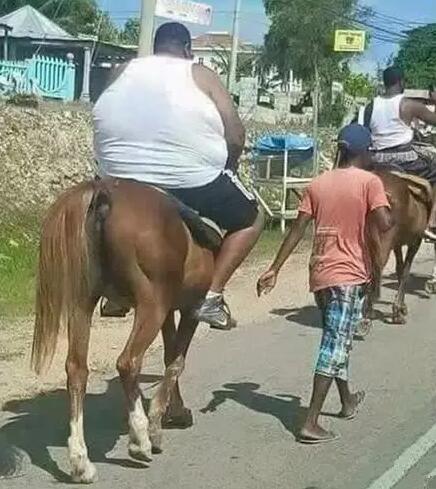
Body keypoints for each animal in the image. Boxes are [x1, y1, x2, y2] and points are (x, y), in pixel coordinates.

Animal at [31, 177, 221, 483]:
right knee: (128, 361)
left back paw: (81, 463)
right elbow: (176, 362)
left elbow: (169, 357)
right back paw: (139, 440)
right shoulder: (189, 308)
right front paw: (156, 427)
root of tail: (102, 191)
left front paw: (175, 411)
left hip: (82, 303)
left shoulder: (168, 312)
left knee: (76, 370)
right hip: (151, 305)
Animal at [363, 170, 432, 330]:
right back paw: (366, 316)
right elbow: (405, 271)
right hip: (383, 242)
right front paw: (397, 313)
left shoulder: (397, 244)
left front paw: (401, 307)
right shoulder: (415, 241)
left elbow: (400, 269)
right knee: (375, 271)